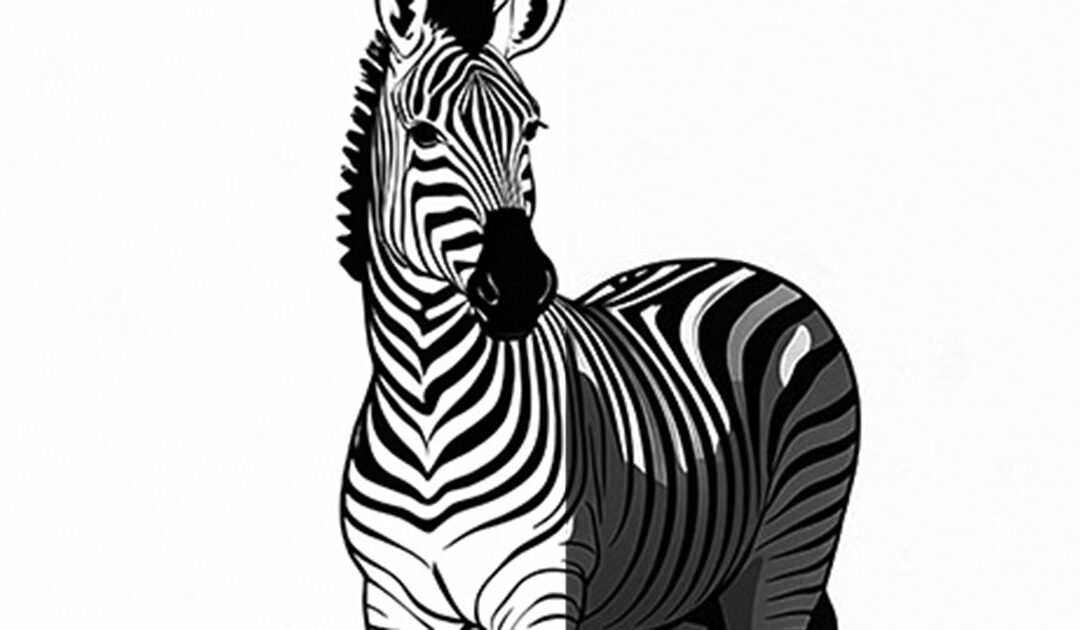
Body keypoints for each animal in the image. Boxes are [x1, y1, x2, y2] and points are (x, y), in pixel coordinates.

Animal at [336, 1, 860, 628]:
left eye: (530, 128)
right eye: (423, 133)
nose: (520, 286)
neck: (427, 406)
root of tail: (751, 271)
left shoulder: (541, 585)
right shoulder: (391, 597)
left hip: (793, 543)